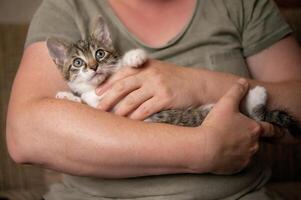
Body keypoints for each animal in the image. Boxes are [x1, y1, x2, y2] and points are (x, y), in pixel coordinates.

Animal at [45, 16, 298, 137]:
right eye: (77, 62)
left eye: (100, 53)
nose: (93, 67)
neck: (100, 87)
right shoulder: (102, 108)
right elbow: (87, 102)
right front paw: (67, 96)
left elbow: (121, 65)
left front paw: (134, 57)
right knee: (254, 115)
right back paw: (257, 96)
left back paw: (257, 92)